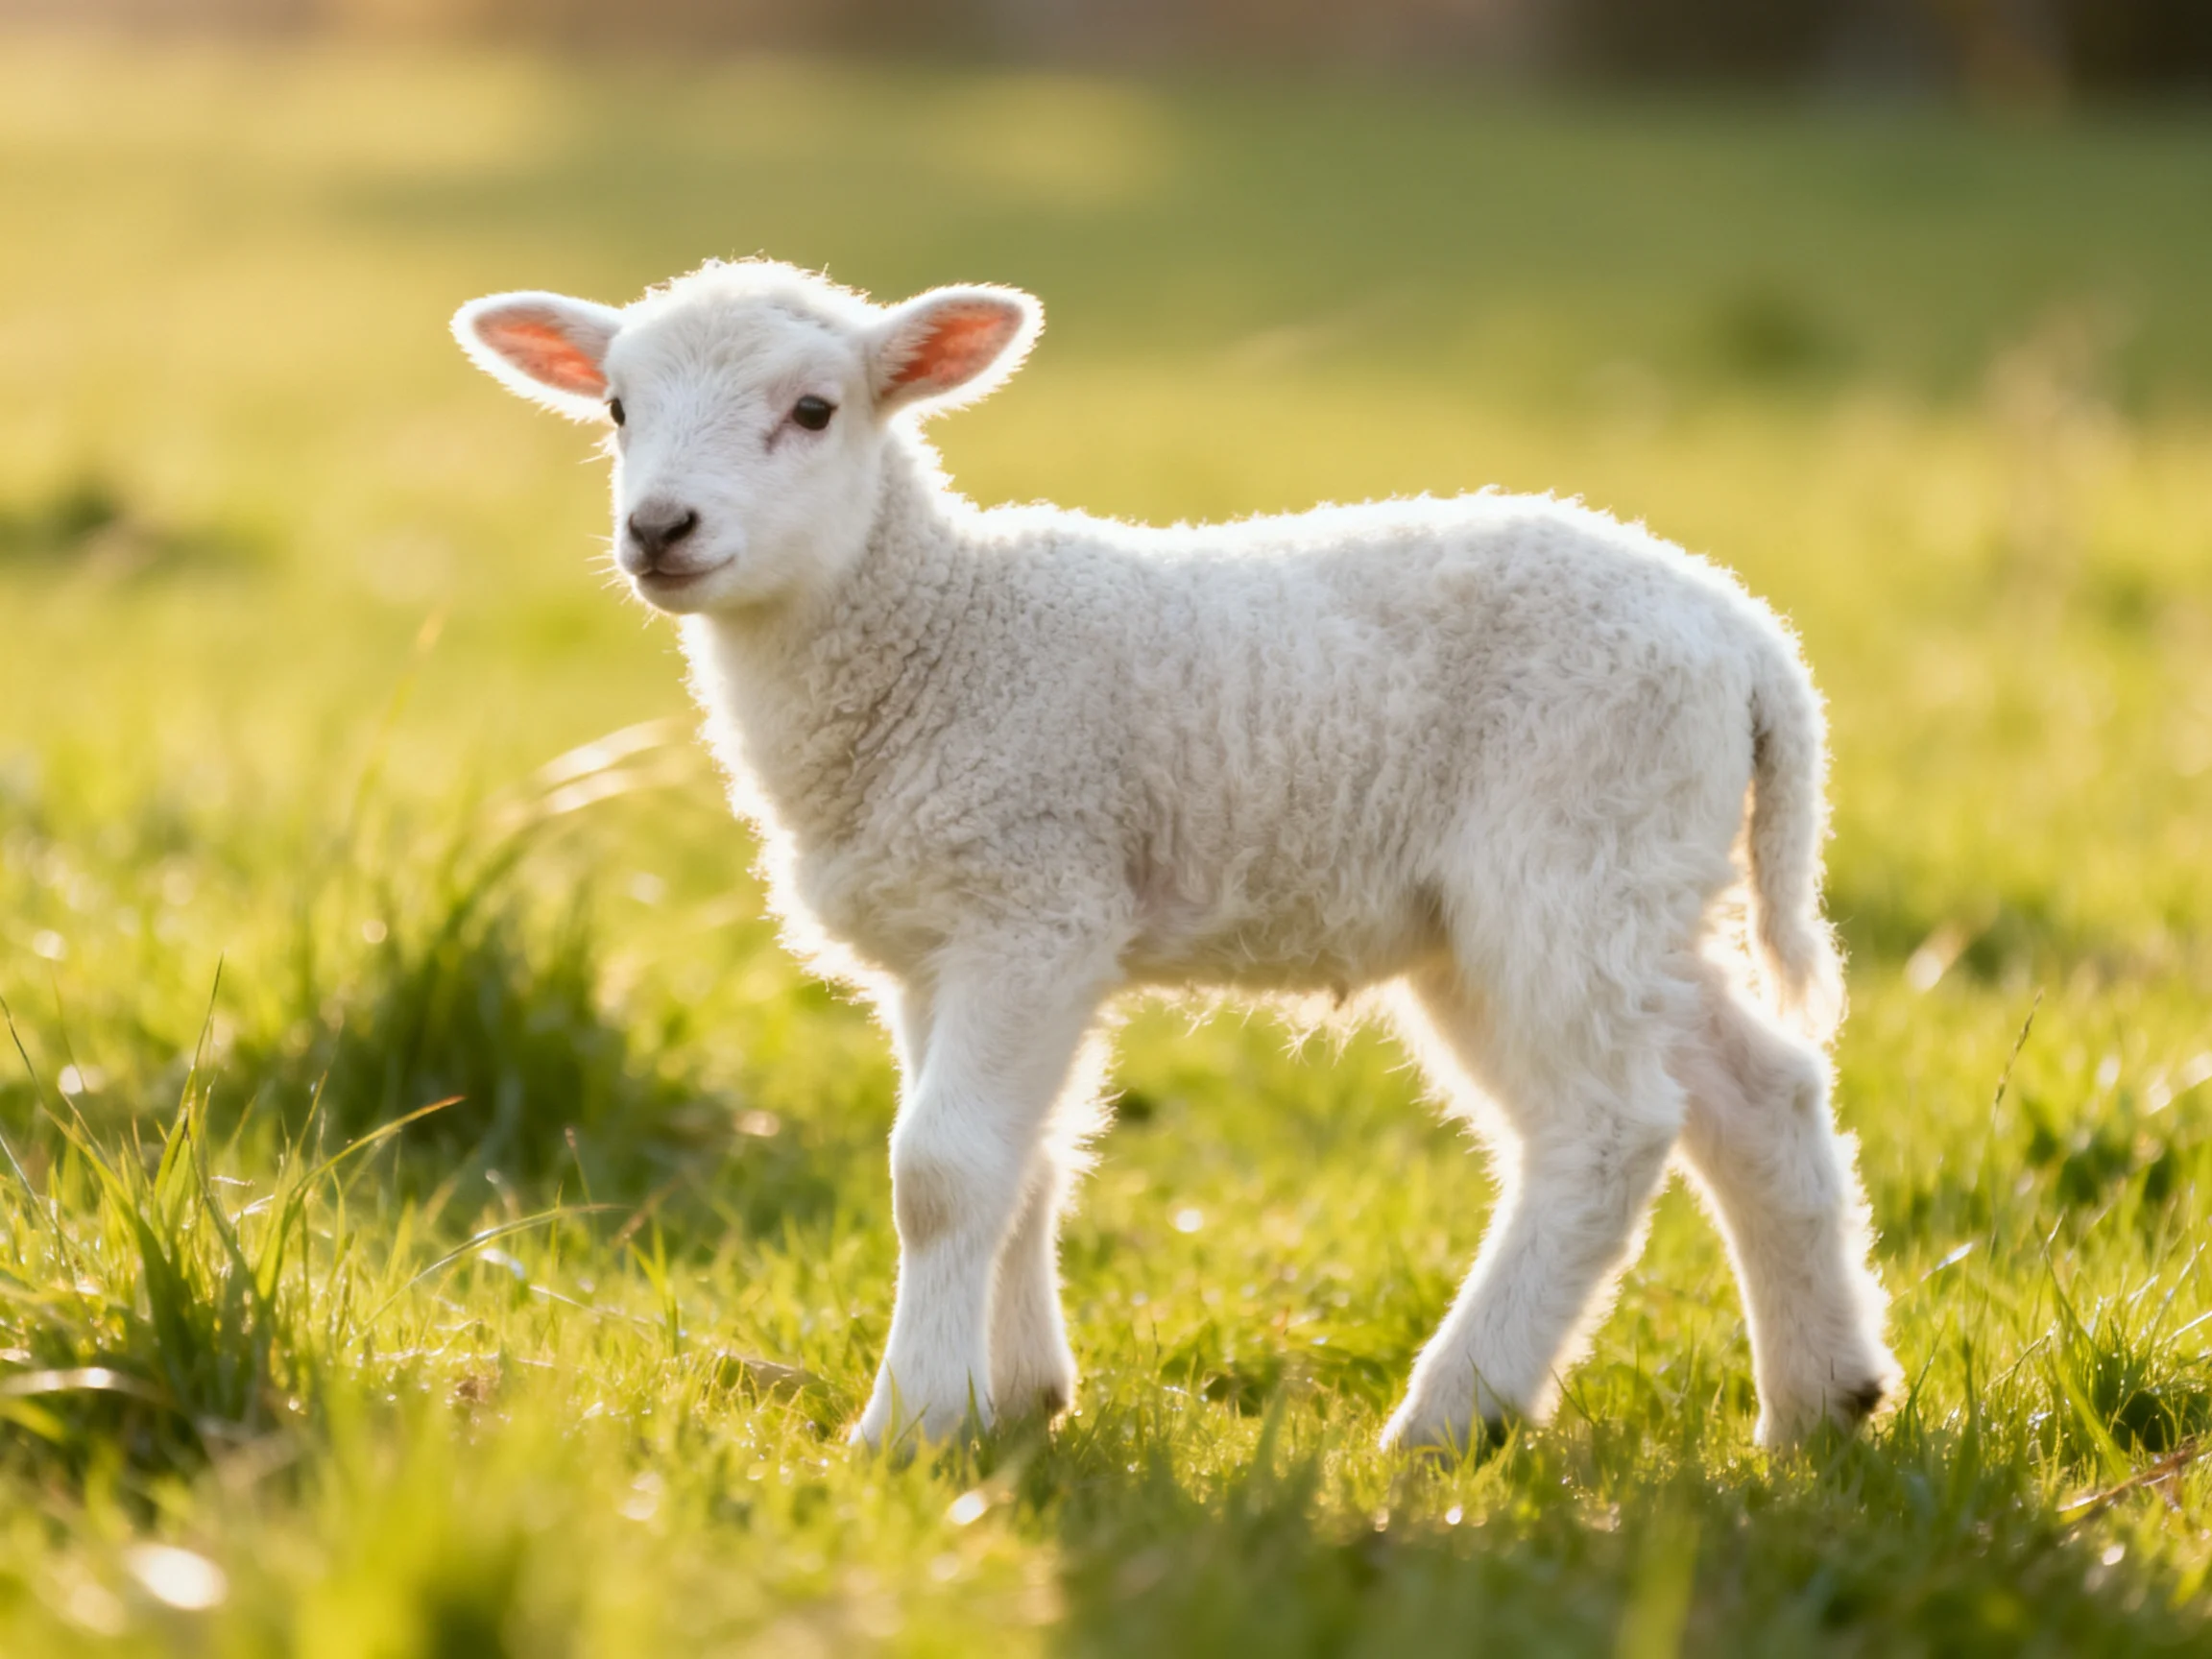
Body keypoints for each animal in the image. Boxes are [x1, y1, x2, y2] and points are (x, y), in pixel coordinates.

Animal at [452, 257, 1900, 1454]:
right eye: (618, 409)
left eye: (814, 410)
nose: (661, 530)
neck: (937, 632)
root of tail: (1747, 639)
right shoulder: (951, 940)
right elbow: (1022, 1159)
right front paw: (1021, 1397)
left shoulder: (1031, 900)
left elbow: (940, 1174)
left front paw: (912, 1425)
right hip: (1636, 882)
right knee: (1759, 1090)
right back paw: (1822, 1402)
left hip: (1563, 857)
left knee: (1606, 1128)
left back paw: (1453, 1413)